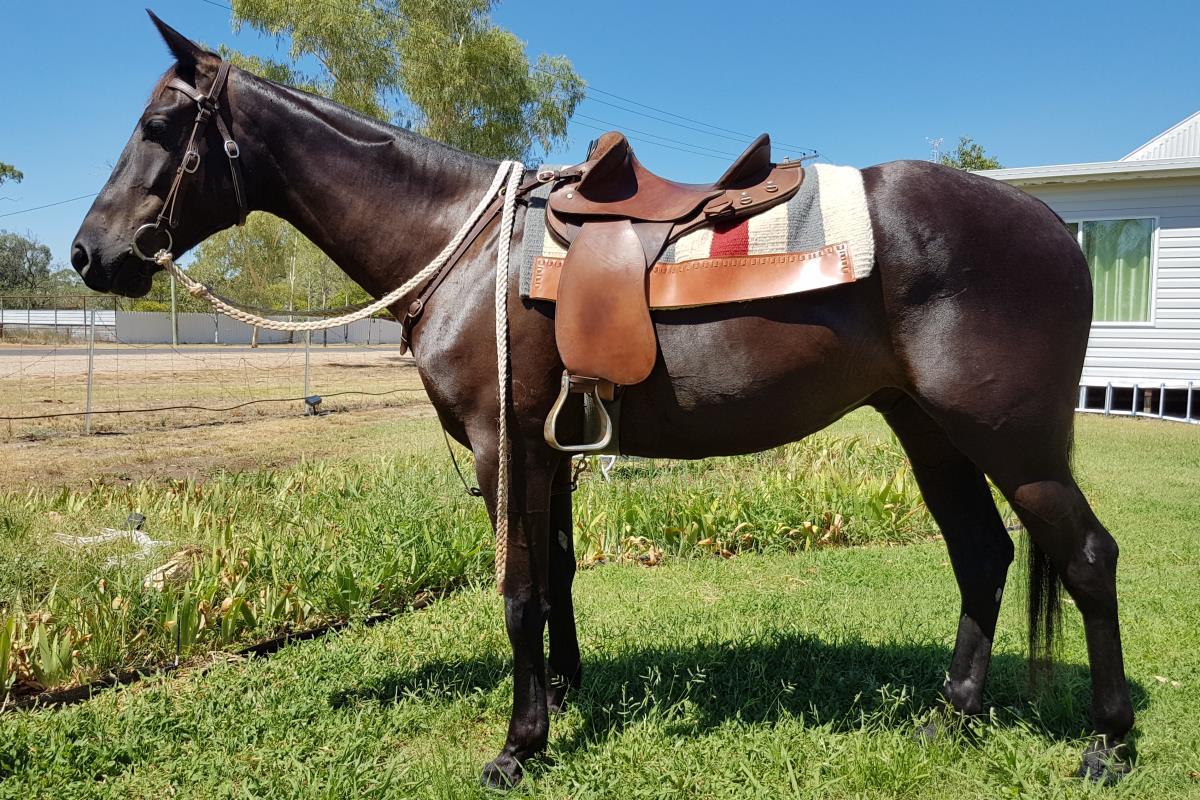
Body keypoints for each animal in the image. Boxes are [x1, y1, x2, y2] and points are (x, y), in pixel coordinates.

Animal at [70, 13, 1134, 788]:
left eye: (160, 128)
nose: (90, 254)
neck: (466, 245)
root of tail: (1048, 224)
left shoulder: (505, 448)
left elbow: (516, 592)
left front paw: (518, 745)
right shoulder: (554, 453)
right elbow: (559, 580)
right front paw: (566, 698)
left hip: (1012, 442)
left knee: (1085, 557)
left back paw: (1107, 745)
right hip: (932, 432)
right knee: (984, 556)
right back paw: (950, 719)